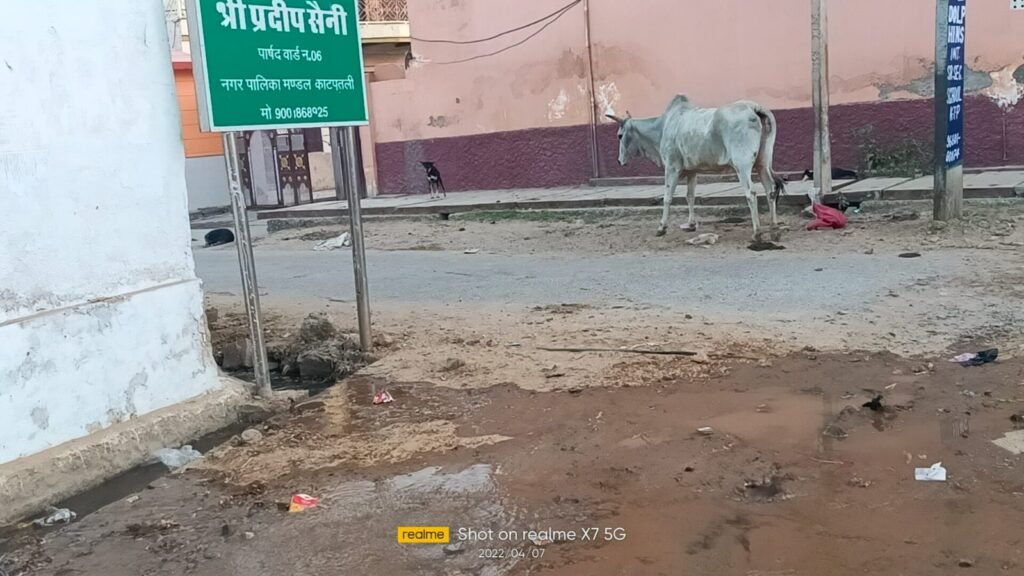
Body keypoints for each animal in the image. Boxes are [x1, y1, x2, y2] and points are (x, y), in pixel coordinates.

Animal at [608, 95, 786, 241]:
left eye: (620, 136)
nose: (619, 161)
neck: (662, 128)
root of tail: (753, 107)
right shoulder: (692, 171)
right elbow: (690, 196)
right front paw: (691, 224)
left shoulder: (671, 167)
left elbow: (667, 197)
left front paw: (661, 227)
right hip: (762, 163)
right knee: (770, 190)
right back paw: (774, 228)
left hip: (742, 165)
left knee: (751, 193)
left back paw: (757, 233)